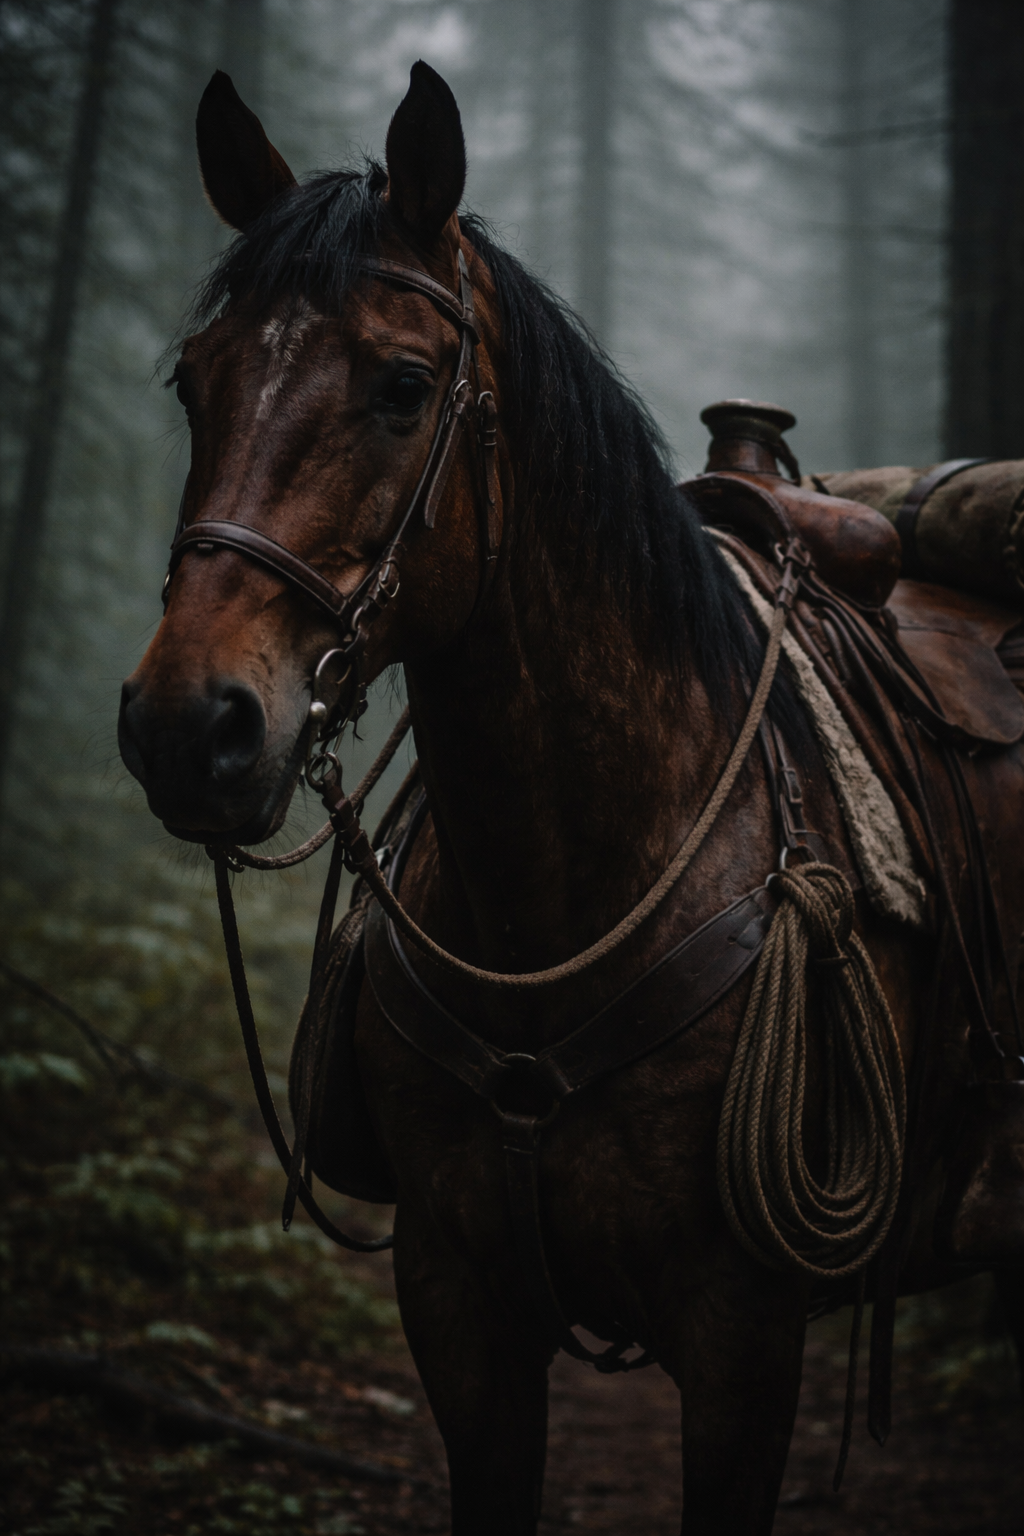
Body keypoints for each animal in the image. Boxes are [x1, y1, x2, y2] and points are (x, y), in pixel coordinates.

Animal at [118, 62, 1024, 1534]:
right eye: (195, 384)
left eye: (404, 385)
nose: (187, 728)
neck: (565, 891)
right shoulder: (457, 1301)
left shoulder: (743, 1337)